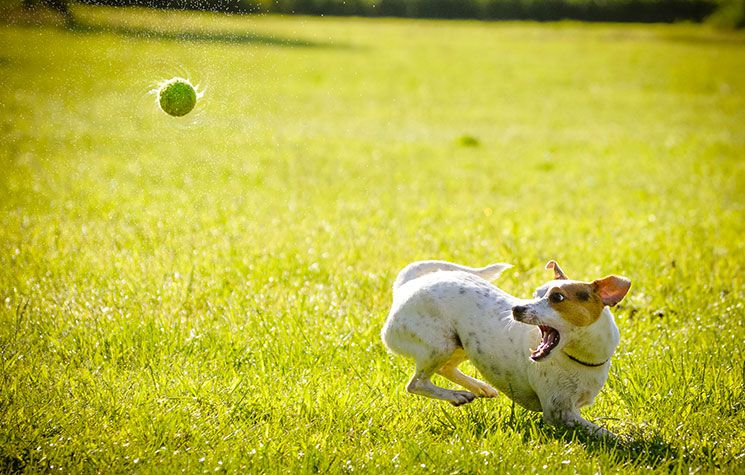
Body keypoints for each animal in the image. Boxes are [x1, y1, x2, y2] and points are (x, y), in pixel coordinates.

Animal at [380, 260, 632, 438]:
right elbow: (603, 432)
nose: (516, 309)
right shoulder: (559, 413)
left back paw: (479, 387)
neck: (579, 357)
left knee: (445, 369)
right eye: (535, 294)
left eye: (558, 297)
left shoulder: (573, 409)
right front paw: (625, 440)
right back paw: (456, 395)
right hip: (440, 344)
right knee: (416, 384)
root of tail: (406, 286)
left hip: (461, 344)